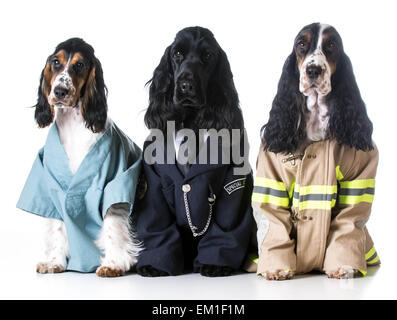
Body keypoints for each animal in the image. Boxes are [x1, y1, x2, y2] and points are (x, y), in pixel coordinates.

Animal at [18, 38, 144, 278]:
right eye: (56, 62)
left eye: (79, 65)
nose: (60, 91)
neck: (74, 126)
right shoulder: (52, 188)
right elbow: (57, 227)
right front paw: (54, 262)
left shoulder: (114, 185)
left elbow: (113, 225)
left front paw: (113, 264)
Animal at [135, 26, 252, 278]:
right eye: (177, 54)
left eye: (208, 56)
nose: (186, 85)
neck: (191, 120)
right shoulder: (153, 183)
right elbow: (157, 225)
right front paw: (154, 265)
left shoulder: (232, 181)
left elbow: (225, 225)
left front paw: (214, 265)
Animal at [252, 22, 378, 278]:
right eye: (302, 44)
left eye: (332, 45)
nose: (313, 70)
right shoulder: (271, 174)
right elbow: (274, 218)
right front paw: (276, 267)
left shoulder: (359, 174)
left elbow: (349, 219)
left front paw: (343, 265)